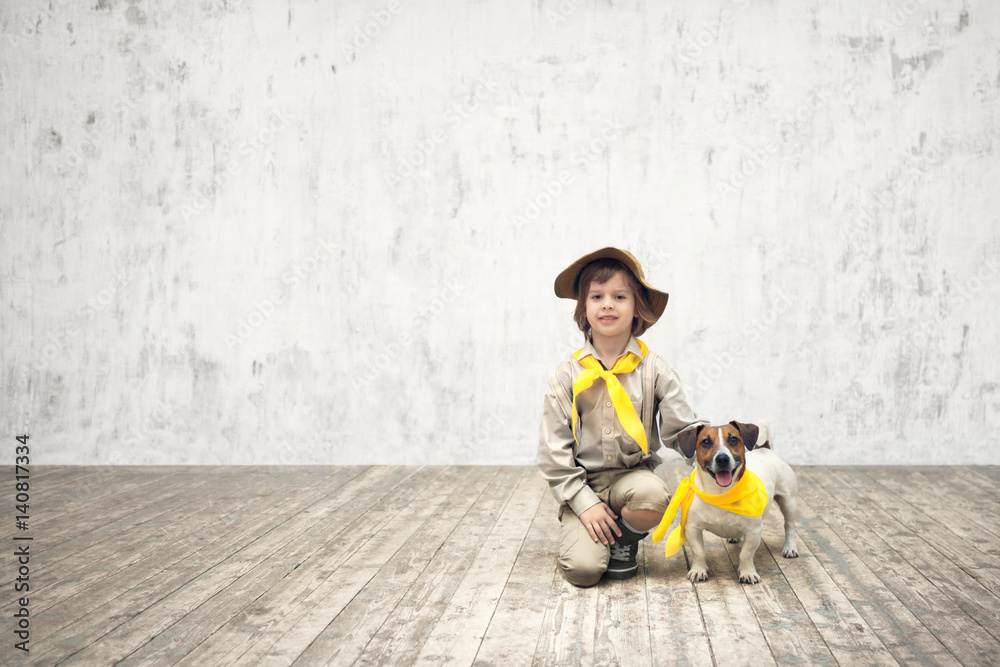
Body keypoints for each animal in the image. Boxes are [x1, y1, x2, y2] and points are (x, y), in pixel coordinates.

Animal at [676, 422, 800, 584]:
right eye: (706, 442)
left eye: (733, 439)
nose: (722, 459)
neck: (721, 494)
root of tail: (765, 449)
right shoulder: (692, 528)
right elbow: (699, 552)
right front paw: (698, 570)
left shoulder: (753, 531)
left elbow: (746, 554)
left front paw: (747, 573)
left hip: (788, 501)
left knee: (789, 526)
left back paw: (790, 547)